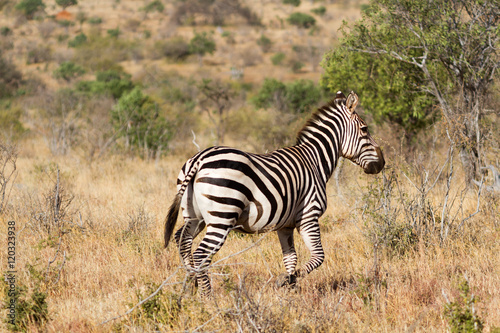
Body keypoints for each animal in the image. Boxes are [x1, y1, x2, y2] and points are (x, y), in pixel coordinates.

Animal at [166, 91, 384, 294]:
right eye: (365, 129)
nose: (382, 163)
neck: (314, 160)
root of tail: (199, 159)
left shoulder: (285, 225)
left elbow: (291, 258)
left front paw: (291, 291)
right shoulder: (309, 216)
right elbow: (318, 257)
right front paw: (287, 281)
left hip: (195, 216)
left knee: (181, 240)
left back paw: (190, 285)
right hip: (222, 216)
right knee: (201, 254)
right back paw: (206, 297)